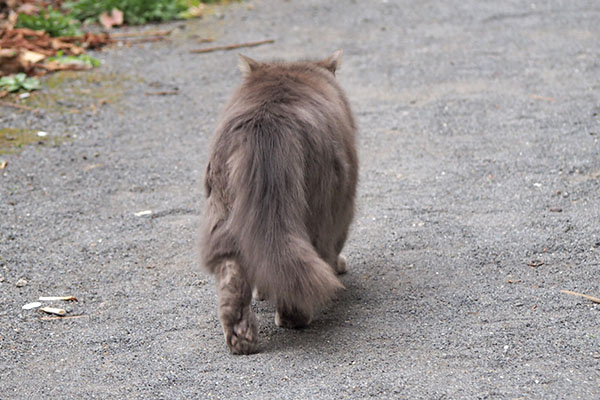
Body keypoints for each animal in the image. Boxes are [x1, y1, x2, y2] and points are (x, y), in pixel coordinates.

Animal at [199, 50, 358, 354]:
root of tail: (266, 125)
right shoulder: (344, 206)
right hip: (321, 206)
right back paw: (294, 317)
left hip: (222, 213)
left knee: (234, 272)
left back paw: (241, 339)